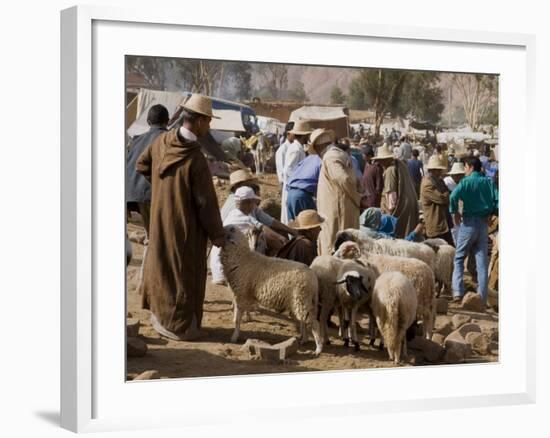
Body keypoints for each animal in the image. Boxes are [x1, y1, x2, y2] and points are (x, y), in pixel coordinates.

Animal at [220, 224, 324, 354]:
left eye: (231, 229)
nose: (222, 227)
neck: (242, 258)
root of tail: (313, 276)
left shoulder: (241, 293)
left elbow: (237, 319)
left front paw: (234, 337)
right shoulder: (242, 293)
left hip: (302, 298)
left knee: (313, 323)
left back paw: (318, 348)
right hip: (302, 300)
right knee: (304, 321)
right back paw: (304, 339)